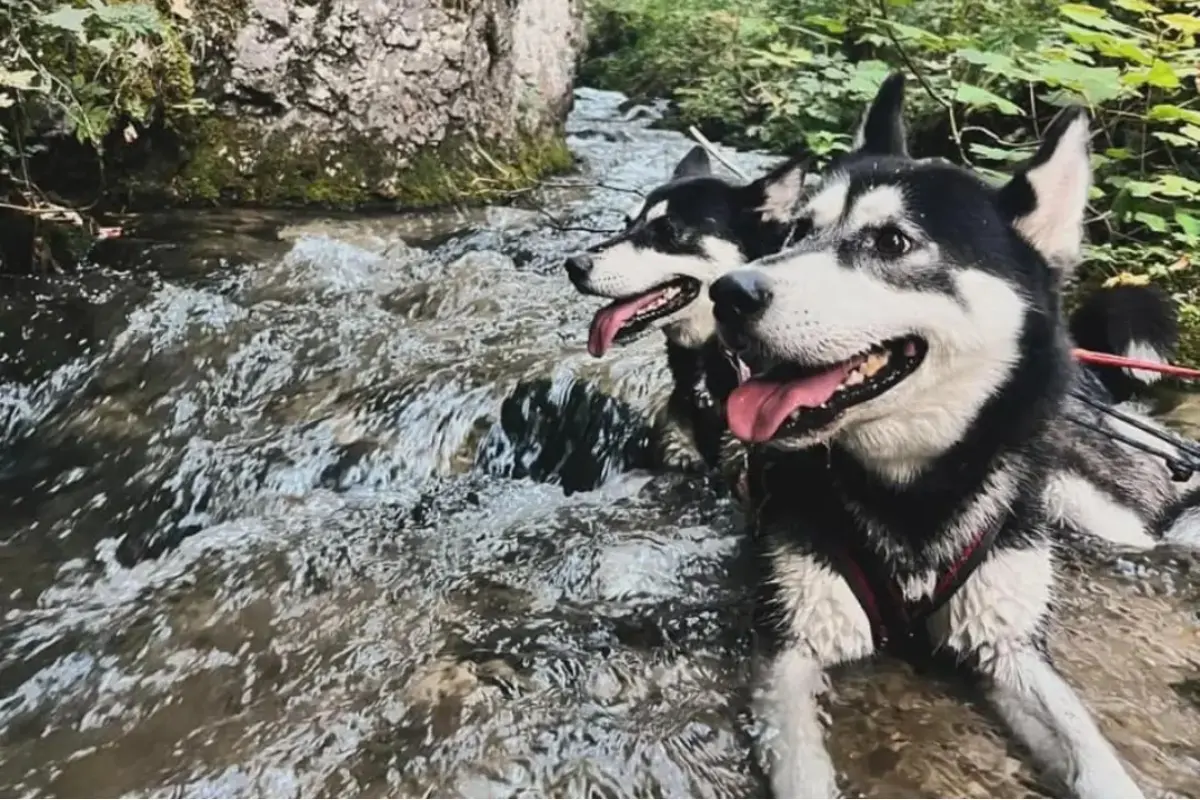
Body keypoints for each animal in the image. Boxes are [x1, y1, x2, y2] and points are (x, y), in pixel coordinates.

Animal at [705, 73, 1166, 796]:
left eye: (892, 242)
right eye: (801, 230)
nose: (729, 293)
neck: (912, 495)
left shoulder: (1007, 642)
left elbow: (1095, 756)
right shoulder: (793, 648)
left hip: (1096, 507)